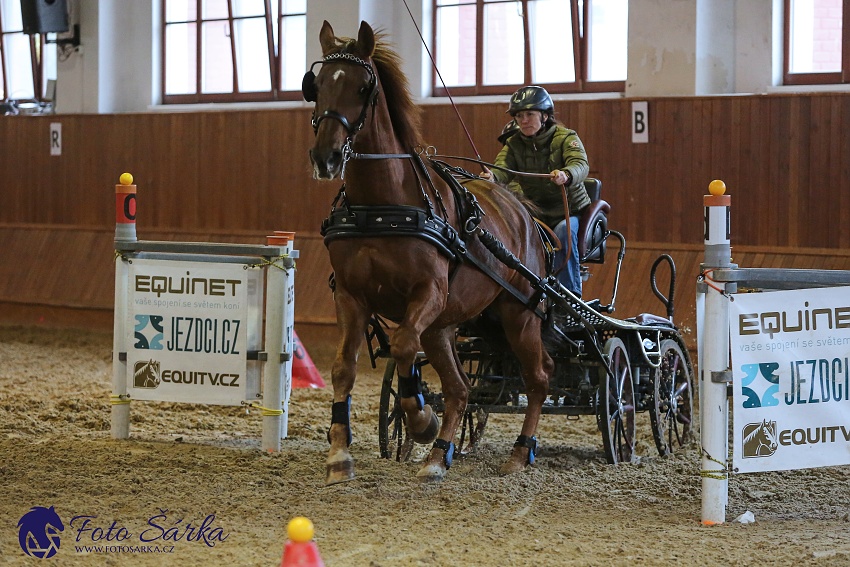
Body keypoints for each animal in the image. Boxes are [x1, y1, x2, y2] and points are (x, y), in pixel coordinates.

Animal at [304, 20, 548, 486]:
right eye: (317, 85)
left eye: (363, 86)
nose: (326, 157)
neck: (382, 206)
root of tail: (521, 209)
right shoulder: (350, 296)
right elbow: (344, 368)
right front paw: (339, 456)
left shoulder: (428, 293)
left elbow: (401, 346)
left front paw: (419, 420)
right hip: (444, 326)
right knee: (460, 388)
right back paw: (438, 456)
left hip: (519, 313)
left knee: (538, 380)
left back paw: (517, 453)